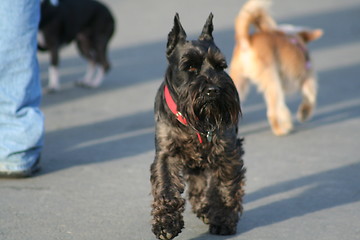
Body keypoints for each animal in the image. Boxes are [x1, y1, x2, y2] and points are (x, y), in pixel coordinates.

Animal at [149, 13, 245, 240]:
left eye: (220, 66)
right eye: (190, 67)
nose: (214, 90)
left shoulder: (227, 152)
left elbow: (224, 187)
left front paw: (223, 220)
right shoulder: (166, 154)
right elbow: (166, 187)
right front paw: (166, 224)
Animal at [229, 0, 324, 135]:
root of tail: (246, 41)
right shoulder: (308, 78)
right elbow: (310, 97)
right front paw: (304, 114)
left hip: (238, 81)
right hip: (273, 82)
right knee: (272, 112)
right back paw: (281, 130)